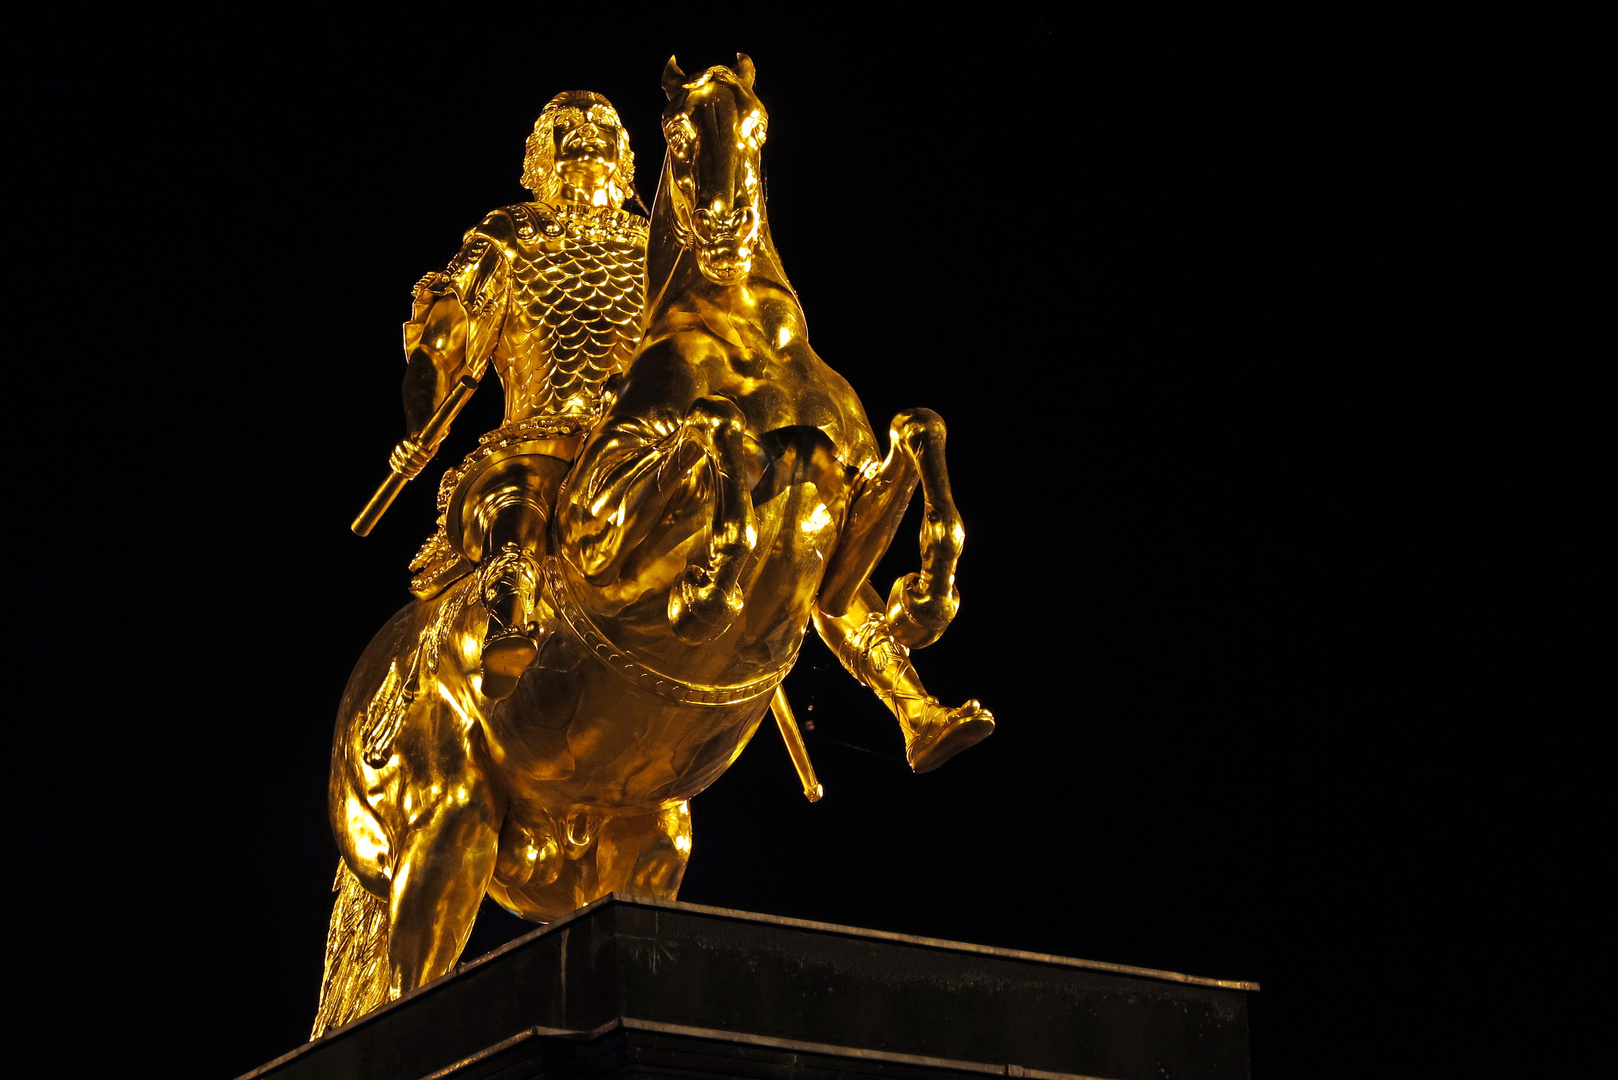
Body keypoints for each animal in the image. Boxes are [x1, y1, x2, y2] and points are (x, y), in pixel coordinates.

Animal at [315, 55, 983, 1036]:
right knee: (407, 978)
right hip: (447, 828)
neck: (745, 337)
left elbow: (915, 433)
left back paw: (936, 724)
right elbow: (717, 433)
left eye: (758, 123)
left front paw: (923, 608)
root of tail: (367, 699)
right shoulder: (604, 534)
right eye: (676, 131)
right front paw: (712, 583)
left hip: (642, 837)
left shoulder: (853, 503)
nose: (726, 225)